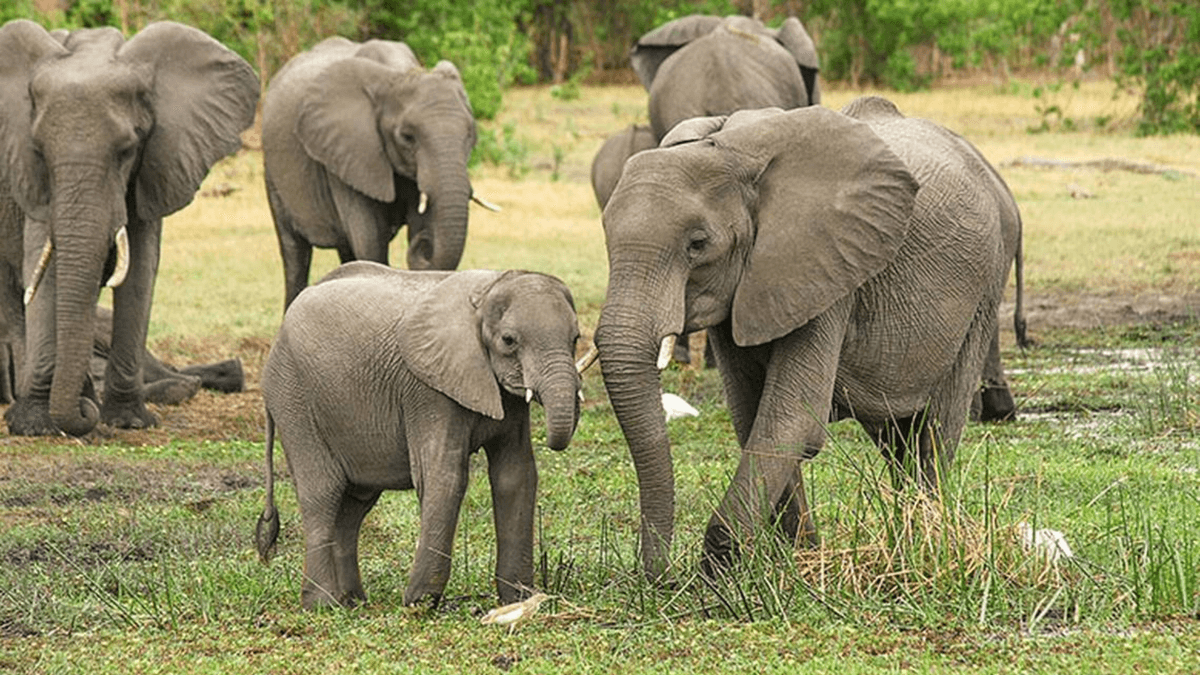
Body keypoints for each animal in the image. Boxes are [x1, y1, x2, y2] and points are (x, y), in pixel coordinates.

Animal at [0, 20, 258, 436]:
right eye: (39, 151)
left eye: (126, 151)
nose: (83, 416)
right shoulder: (29, 177)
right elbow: (44, 267)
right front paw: (35, 426)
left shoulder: (156, 163)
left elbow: (140, 271)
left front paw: (129, 421)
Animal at [255, 262, 583, 609]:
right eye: (509, 340)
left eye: (576, 338)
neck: (488, 288)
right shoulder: (428, 390)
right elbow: (444, 476)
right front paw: (420, 603)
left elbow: (515, 476)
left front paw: (519, 599)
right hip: (293, 398)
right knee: (322, 493)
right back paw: (323, 604)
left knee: (354, 504)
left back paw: (353, 601)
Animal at [263, 37, 488, 310]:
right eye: (407, 137)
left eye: (470, 135)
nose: (423, 243)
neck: (399, 74)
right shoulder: (348, 153)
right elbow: (369, 241)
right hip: (272, 172)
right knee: (295, 253)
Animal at [593, 97, 1011, 578]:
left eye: (697, 244)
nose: (659, 577)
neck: (729, 152)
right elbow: (752, 415)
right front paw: (797, 557)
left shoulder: (828, 267)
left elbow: (791, 418)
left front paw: (721, 569)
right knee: (896, 437)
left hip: (983, 290)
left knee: (935, 429)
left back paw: (926, 540)